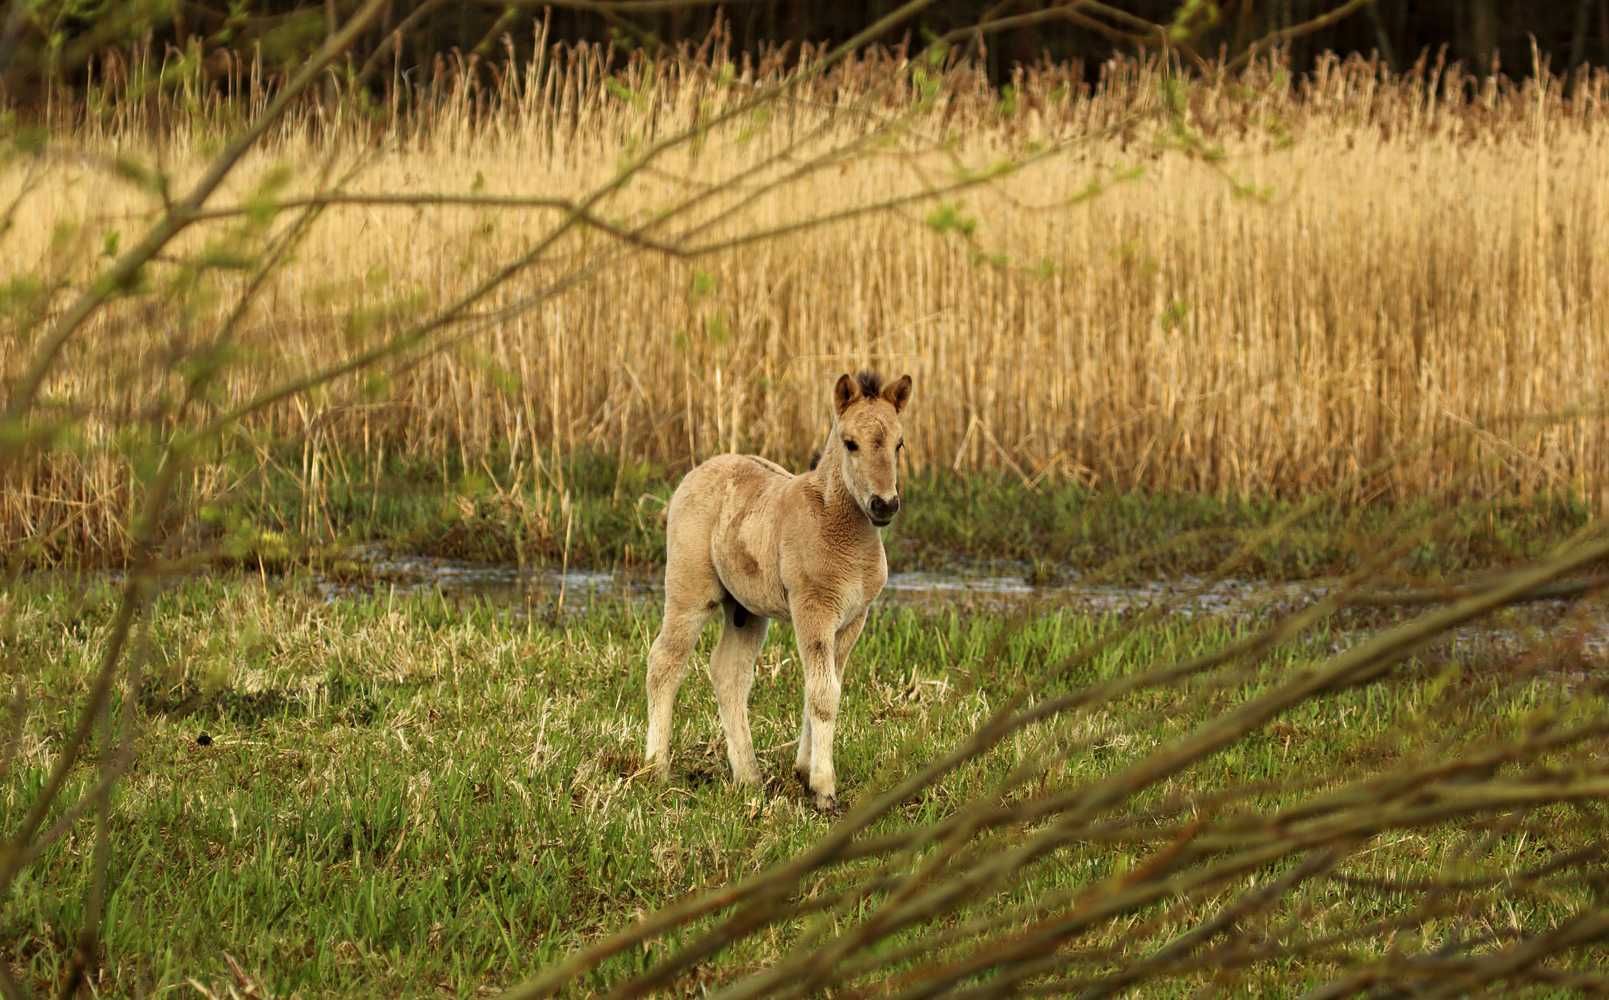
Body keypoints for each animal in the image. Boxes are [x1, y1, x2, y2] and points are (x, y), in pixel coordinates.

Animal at [643, 372, 920, 810]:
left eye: (899, 444)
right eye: (850, 443)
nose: (884, 505)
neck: (836, 524)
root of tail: (699, 470)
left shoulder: (852, 619)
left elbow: (823, 688)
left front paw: (804, 772)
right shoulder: (814, 609)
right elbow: (823, 694)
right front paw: (823, 789)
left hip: (746, 610)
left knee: (729, 673)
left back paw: (749, 777)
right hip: (690, 592)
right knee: (664, 662)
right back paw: (656, 767)